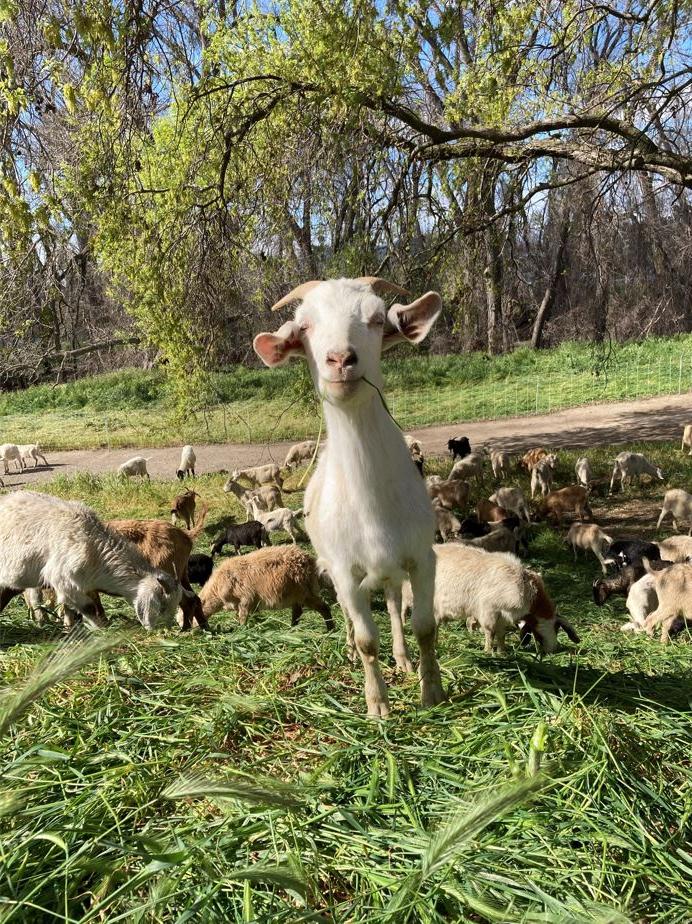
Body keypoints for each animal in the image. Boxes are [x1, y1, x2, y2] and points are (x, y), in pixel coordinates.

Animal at [0, 490, 184, 628]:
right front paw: (100, 630)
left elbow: (70, 608)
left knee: (33, 597)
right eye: (162, 606)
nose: (161, 629)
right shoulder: (65, 581)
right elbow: (88, 607)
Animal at [199, 544, 334, 632]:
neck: (217, 588)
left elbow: (243, 618)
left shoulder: (245, 600)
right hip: (296, 594)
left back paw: (330, 630)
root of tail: (309, 560)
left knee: (323, 607)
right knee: (297, 612)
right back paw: (292, 629)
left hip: (304, 592)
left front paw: (242, 632)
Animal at [253, 274, 444, 716]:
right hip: (334, 570)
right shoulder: (344, 569)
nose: (340, 359)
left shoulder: (421, 558)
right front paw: (378, 705)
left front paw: (432, 691)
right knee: (345, 611)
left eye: (376, 319)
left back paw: (402, 658)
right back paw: (349, 648)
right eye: (303, 327)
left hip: (390, 572)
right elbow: (366, 639)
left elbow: (424, 627)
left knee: (392, 606)